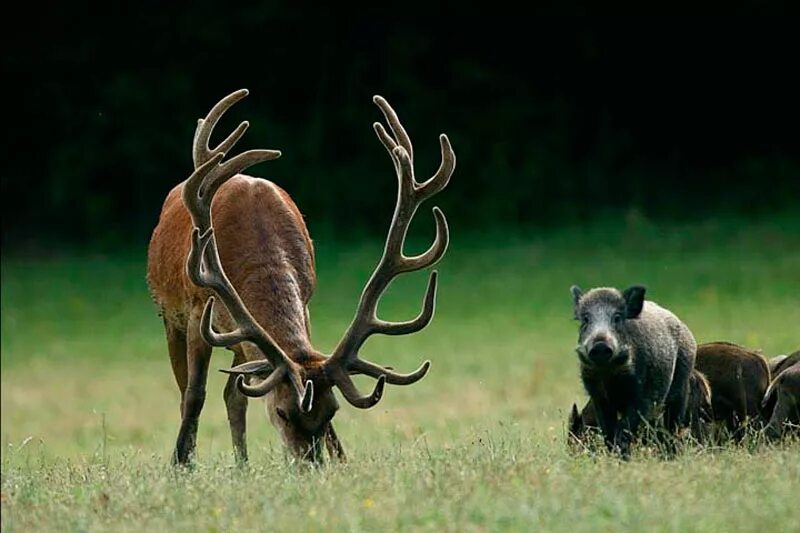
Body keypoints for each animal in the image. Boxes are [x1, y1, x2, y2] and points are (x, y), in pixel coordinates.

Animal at [146, 89, 454, 464]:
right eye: (282, 413)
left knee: (234, 393)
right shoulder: (196, 312)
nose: (311, 463)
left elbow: (239, 391)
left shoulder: (304, 305)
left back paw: (243, 466)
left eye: (332, 411)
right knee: (191, 391)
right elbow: (194, 394)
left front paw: (342, 460)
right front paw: (180, 464)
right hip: (169, 314)